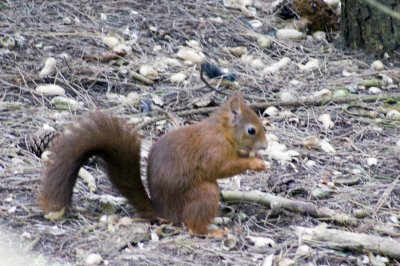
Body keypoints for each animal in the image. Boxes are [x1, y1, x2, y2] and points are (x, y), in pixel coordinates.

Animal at [39, 92, 268, 236]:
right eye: (251, 130)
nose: (265, 145)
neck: (223, 131)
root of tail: (164, 213)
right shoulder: (212, 149)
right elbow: (221, 167)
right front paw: (256, 163)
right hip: (205, 193)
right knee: (194, 228)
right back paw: (215, 232)